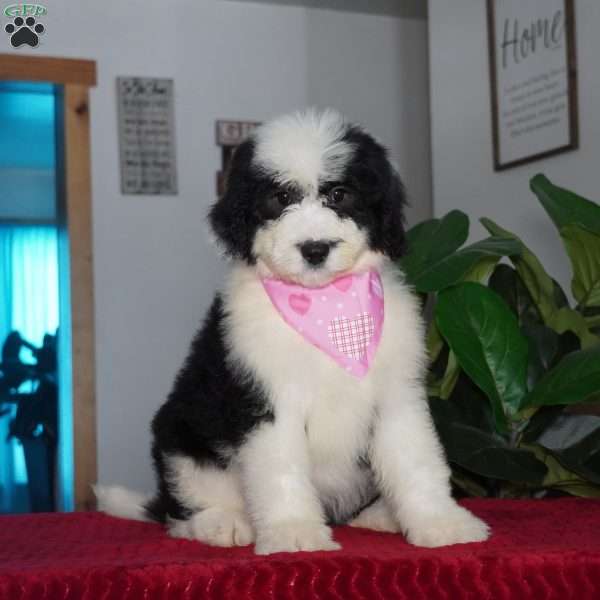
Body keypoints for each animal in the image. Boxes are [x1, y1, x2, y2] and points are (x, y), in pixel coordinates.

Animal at [97, 110, 488, 556]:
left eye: (339, 194)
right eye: (280, 198)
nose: (314, 248)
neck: (329, 309)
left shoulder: (396, 396)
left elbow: (416, 460)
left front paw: (442, 523)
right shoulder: (267, 401)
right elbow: (280, 471)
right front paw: (293, 533)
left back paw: (381, 514)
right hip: (181, 432)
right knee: (184, 505)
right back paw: (222, 523)